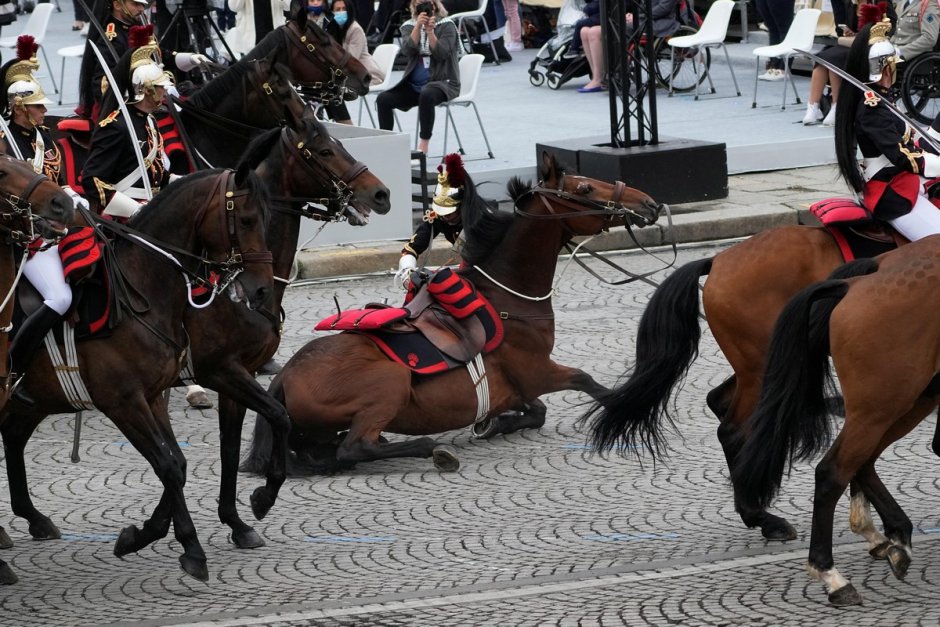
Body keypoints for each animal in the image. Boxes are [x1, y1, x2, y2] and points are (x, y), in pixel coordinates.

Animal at [0, 167, 276, 584]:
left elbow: (179, 463)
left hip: (34, 401)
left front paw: (146, 535)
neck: (141, 292)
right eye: (245, 220)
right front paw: (191, 549)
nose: (260, 289)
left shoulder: (153, 395)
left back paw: (32, 520)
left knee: (13, 437)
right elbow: (169, 466)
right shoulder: (127, 402)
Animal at [176, 114, 390, 548]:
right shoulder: (223, 371)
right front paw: (260, 498)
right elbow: (275, 420)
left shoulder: (237, 377)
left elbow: (229, 448)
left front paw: (236, 522)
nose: (381, 193)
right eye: (325, 150)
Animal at [235, 152, 660, 474]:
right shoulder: (539, 371)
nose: (649, 203)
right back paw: (431, 449)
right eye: (584, 188)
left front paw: (495, 423)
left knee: (326, 453)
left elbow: (536, 411)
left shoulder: (519, 386)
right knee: (355, 447)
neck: (510, 300)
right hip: (388, 383)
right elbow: (589, 382)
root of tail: (283, 377)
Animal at [732, 237, 940, 608]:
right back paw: (832, 574)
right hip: (884, 403)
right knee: (833, 471)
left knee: (862, 463)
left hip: (905, 401)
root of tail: (853, 284)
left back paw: (892, 539)